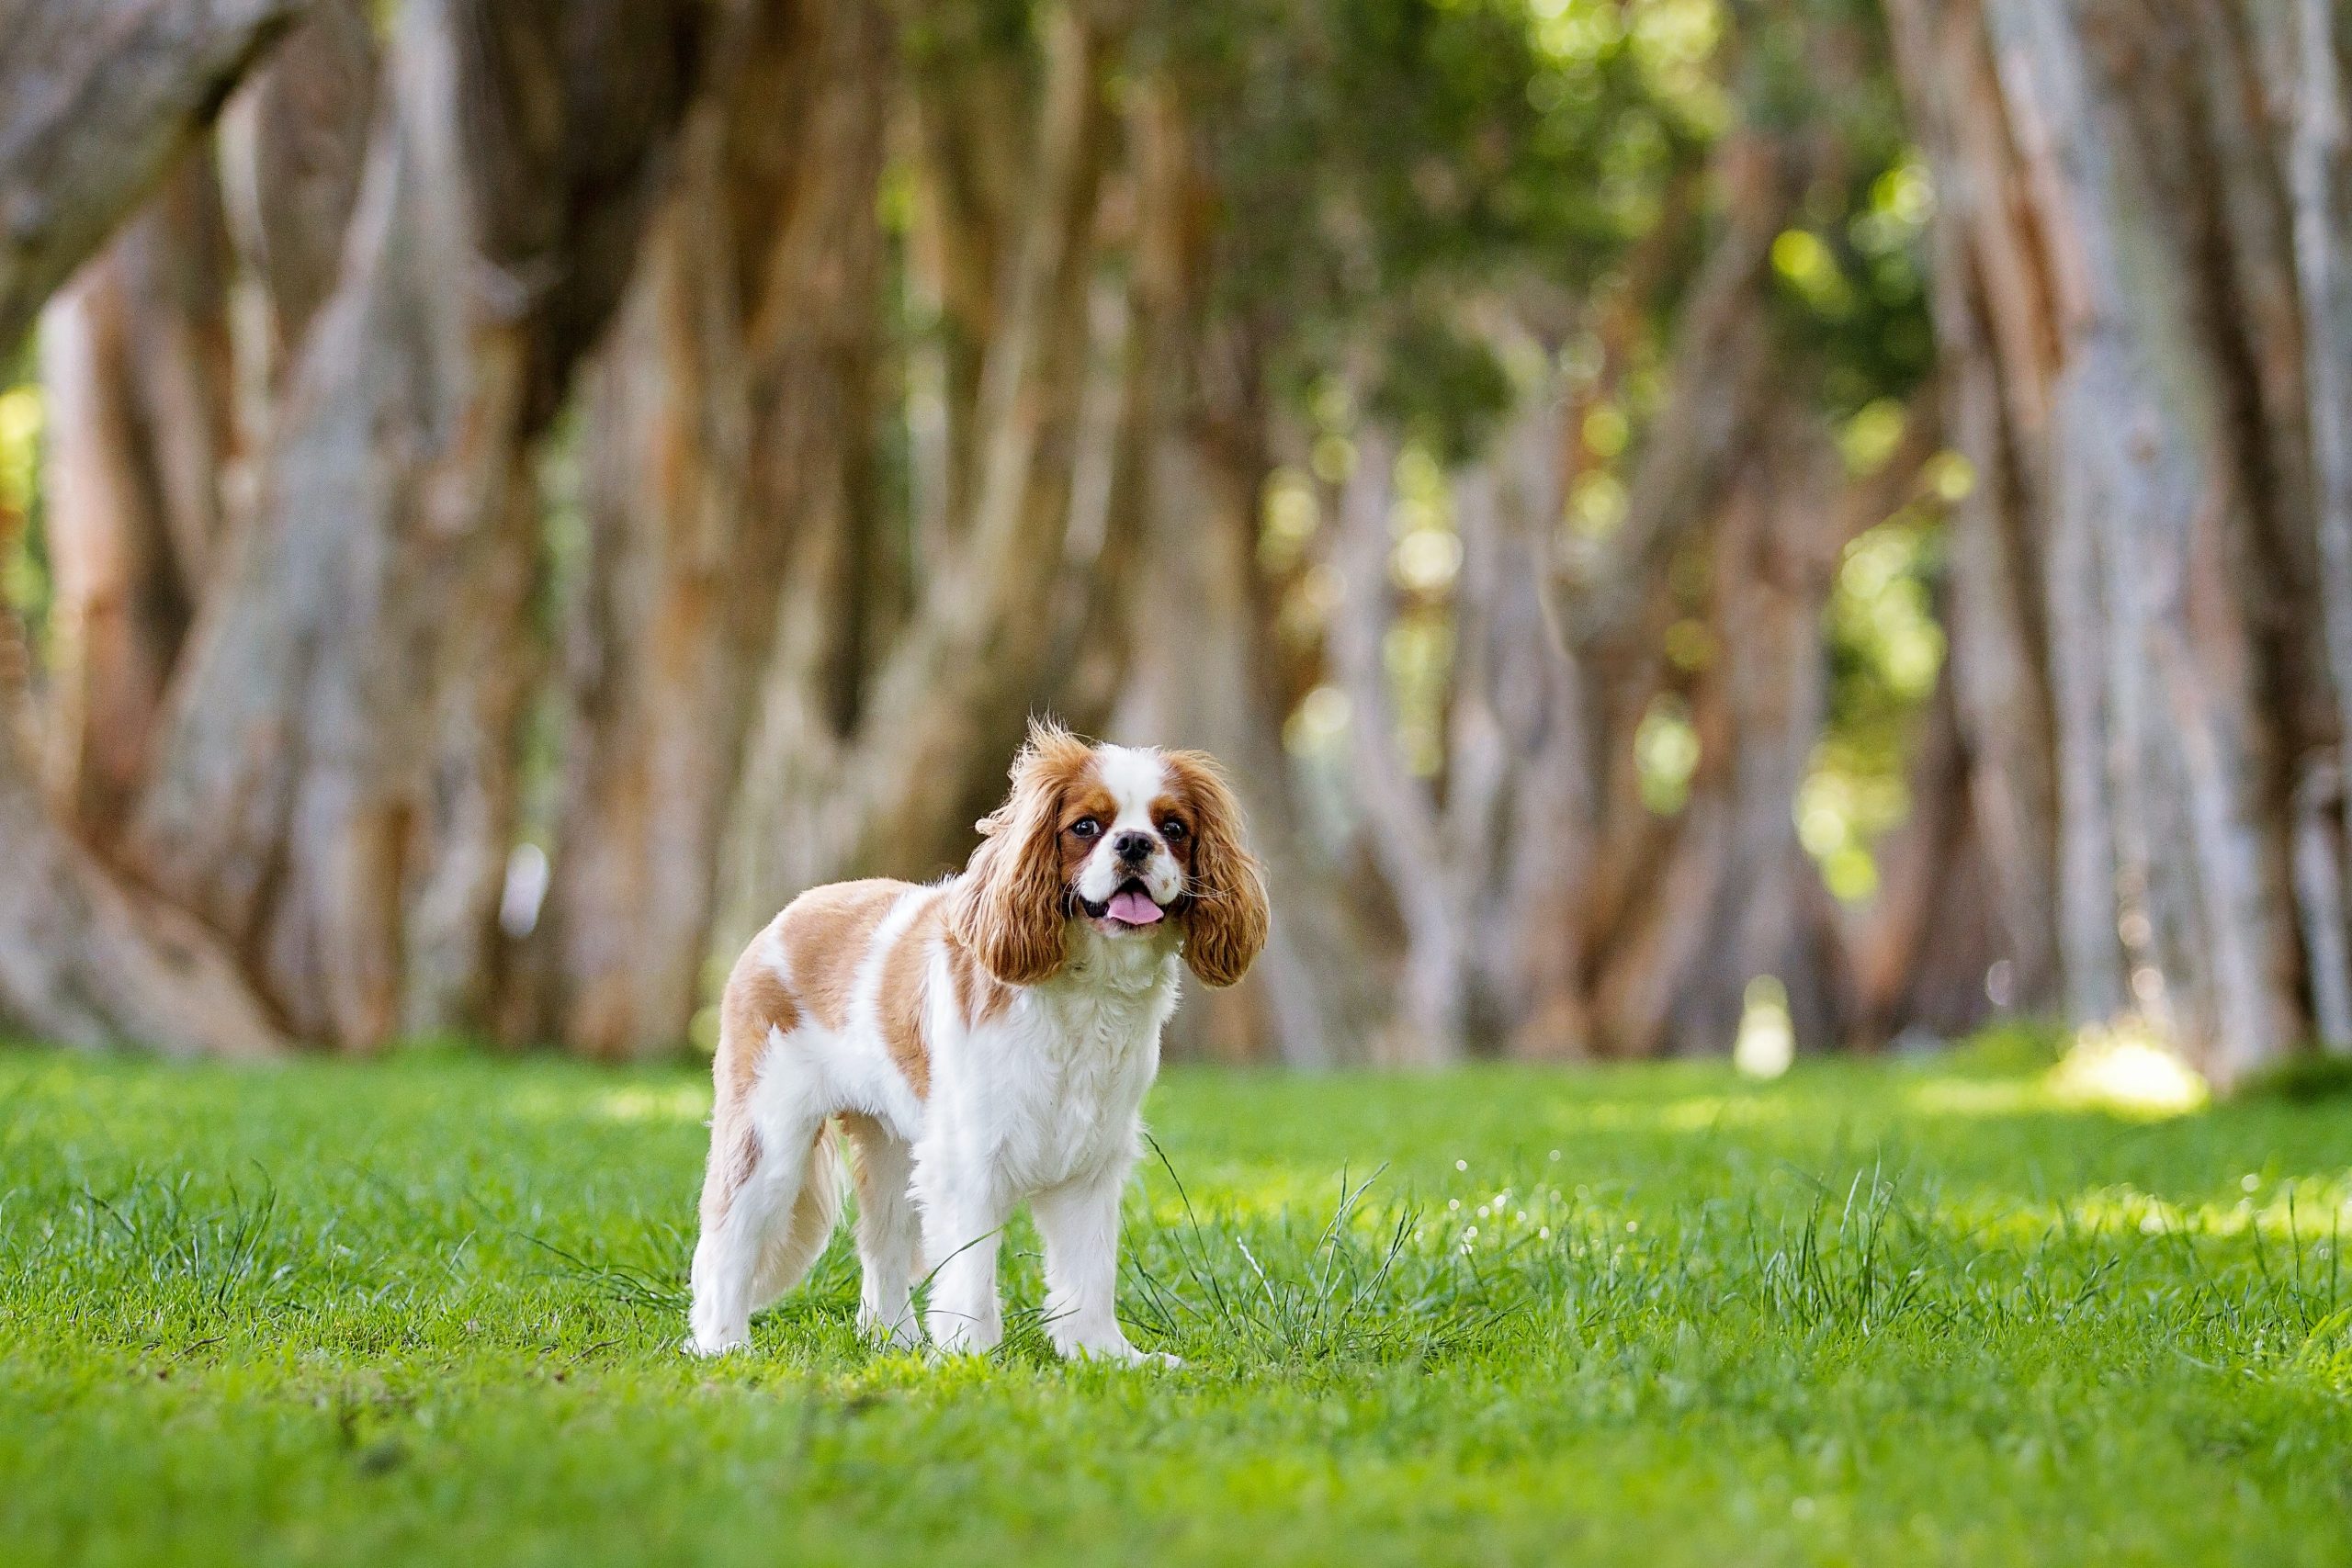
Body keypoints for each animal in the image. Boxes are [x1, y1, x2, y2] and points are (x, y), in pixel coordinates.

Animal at [682, 724, 1270, 1363]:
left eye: (1174, 829)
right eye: (1086, 827)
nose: (1136, 844)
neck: (1088, 990)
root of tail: (782, 919)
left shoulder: (1089, 1168)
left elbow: (1089, 1273)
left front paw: (1104, 1356)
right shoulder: (967, 1163)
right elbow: (970, 1274)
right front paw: (972, 1359)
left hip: (893, 1153)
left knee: (883, 1247)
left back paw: (895, 1342)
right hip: (769, 1138)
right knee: (728, 1237)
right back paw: (721, 1344)